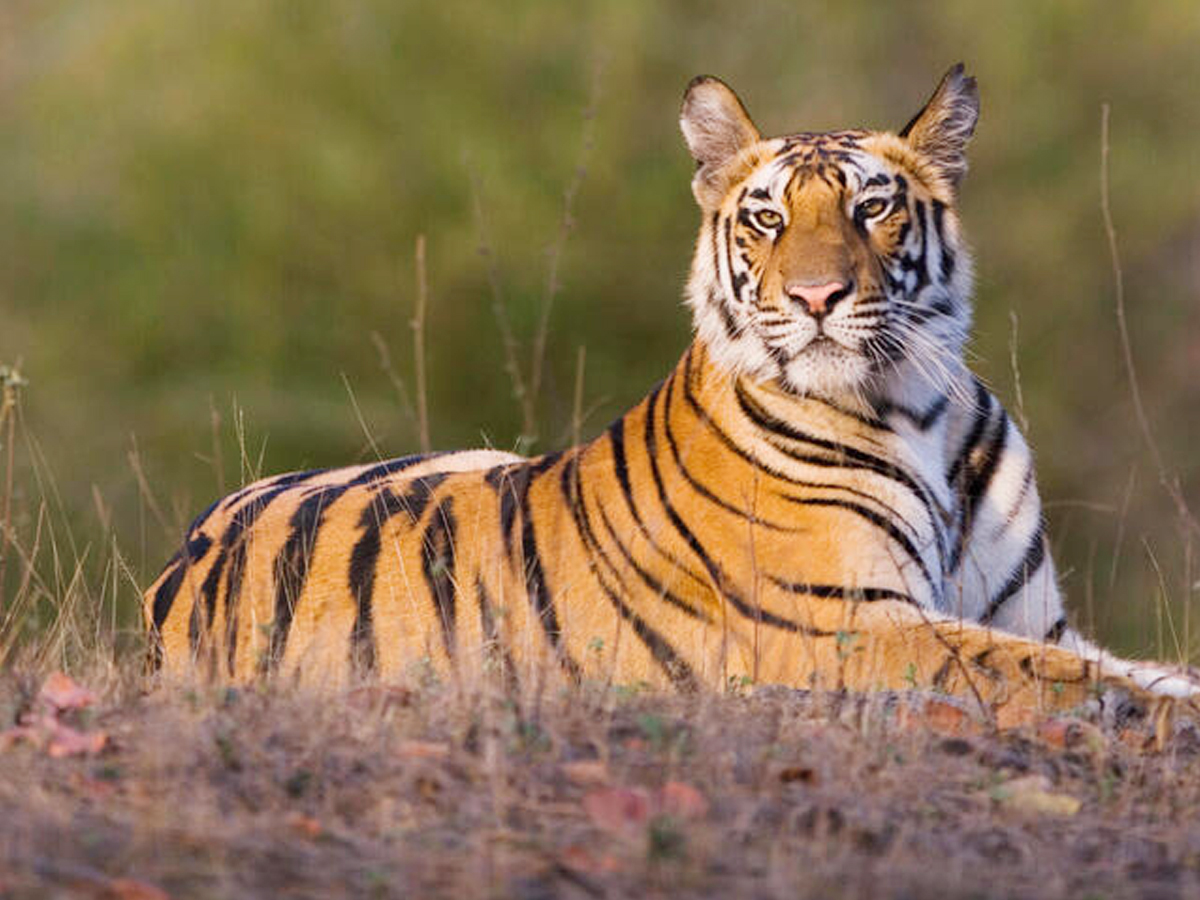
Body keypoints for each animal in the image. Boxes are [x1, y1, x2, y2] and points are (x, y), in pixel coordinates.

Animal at [145, 65, 1198, 719]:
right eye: (768, 218)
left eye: (873, 207)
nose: (817, 297)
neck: (918, 411)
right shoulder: (844, 622)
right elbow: (1049, 675)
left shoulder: (1030, 613)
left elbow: (1112, 660)